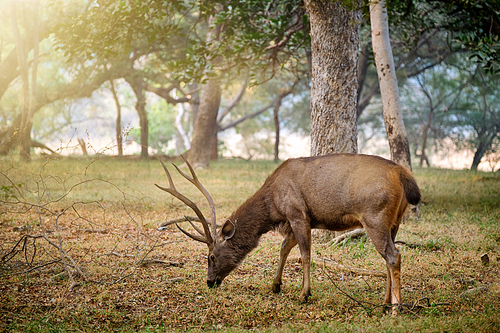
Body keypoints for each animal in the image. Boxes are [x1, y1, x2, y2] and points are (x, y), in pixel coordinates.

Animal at [157, 153, 422, 312]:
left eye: (211, 256)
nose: (210, 281)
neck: (272, 206)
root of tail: (404, 176)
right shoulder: (300, 220)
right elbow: (284, 248)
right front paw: (275, 285)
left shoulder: (297, 213)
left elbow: (305, 255)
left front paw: (304, 294)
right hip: (394, 221)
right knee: (389, 257)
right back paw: (385, 303)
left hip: (374, 216)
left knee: (393, 256)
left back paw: (396, 308)